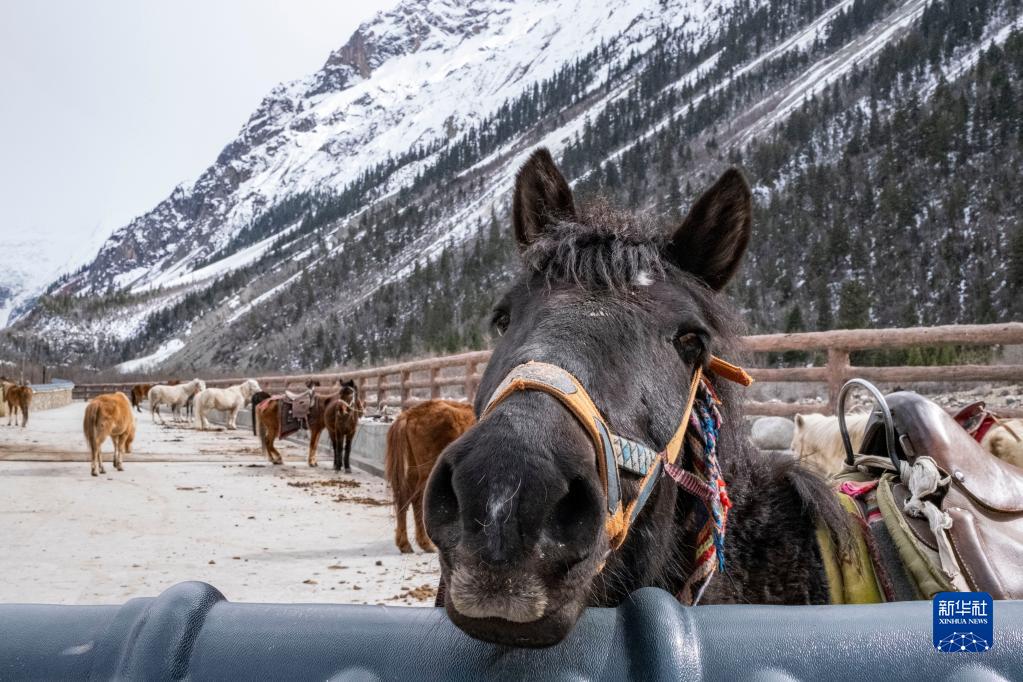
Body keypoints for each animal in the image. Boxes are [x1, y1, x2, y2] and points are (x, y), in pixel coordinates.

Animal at [386, 400, 474, 556]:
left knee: (404, 499)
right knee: (419, 500)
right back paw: (426, 544)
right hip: (428, 470)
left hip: (413, 471)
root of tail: (410, 414)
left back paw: (405, 544)